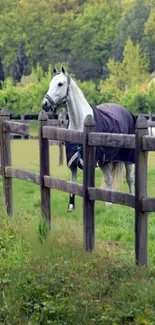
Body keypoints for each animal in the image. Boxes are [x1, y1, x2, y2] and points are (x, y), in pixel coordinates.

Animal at [41, 67, 136, 211]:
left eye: (60, 84)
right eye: (50, 83)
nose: (45, 104)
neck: (79, 123)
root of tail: (127, 112)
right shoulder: (72, 161)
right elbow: (72, 183)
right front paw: (71, 206)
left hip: (128, 158)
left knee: (130, 178)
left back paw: (131, 206)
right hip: (105, 160)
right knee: (108, 178)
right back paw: (108, 205)